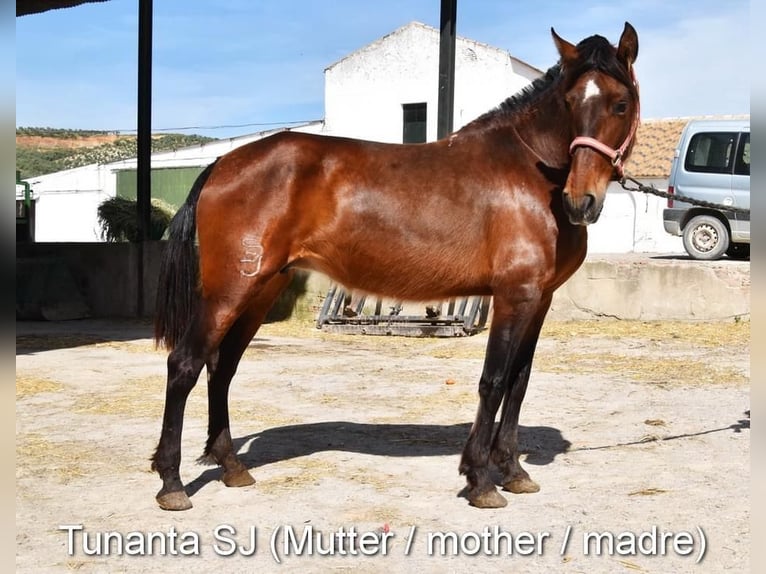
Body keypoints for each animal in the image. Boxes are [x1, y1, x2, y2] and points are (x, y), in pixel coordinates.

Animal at [152, 22, 640, 510]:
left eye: (620, 103)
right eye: (570, 101)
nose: (581, 201)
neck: (530, 172)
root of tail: (222, 163)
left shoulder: (539, 300)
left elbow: (518, 383)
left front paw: (514, 472)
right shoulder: (513, 296)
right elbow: (494, 380)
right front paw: (480, 480)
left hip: (261, 290)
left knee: (221, 368)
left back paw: (231, 466)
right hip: (230, 290)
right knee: (185, 364)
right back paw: (172, 483)